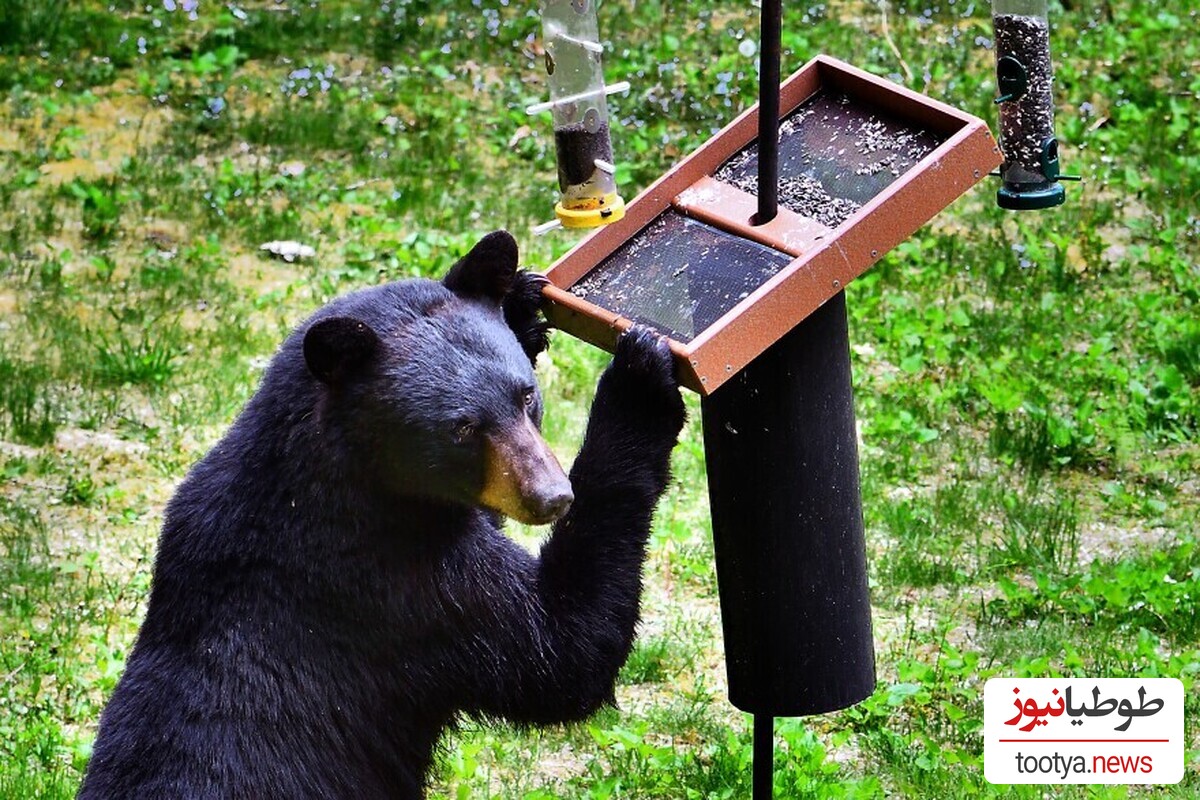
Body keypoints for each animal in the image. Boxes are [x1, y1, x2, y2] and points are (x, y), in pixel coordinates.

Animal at [79, 230, 686, 796]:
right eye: (463, 428)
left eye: (527, 397)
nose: (553, 496)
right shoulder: (401, 587)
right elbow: (562, 649)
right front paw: (640, 377)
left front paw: (520, 297)